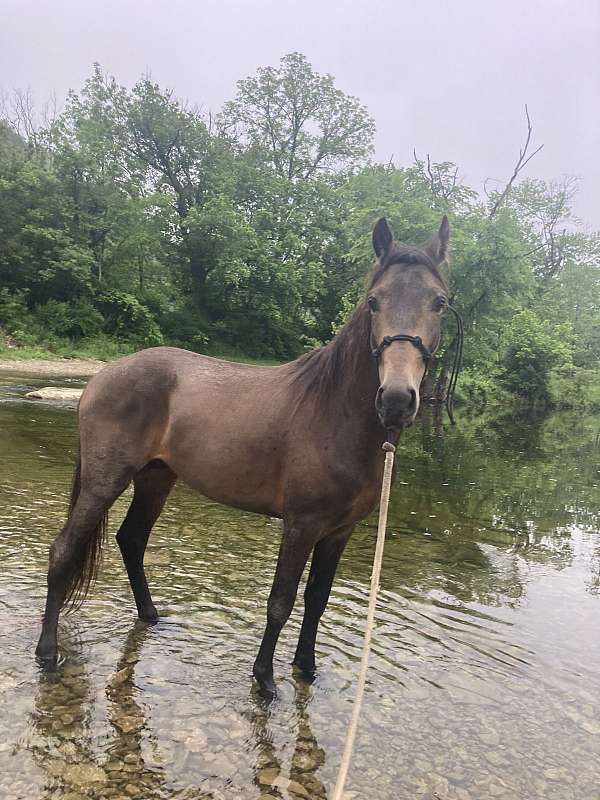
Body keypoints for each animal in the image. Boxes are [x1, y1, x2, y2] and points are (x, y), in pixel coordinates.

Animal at [36, 214, 450, 692]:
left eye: (439, 302)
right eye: (373, 302)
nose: (397, 400)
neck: (335, 413)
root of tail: (102, 377)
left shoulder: (338, 532)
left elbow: (317, 601)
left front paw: (306, 669)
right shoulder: (302, 525)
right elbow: (281, 601)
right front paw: (265, 680)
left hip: (156, 477)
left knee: (132, 541)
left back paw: (153, 618)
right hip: (105, 480)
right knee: (63, 550)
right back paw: (47, 653)